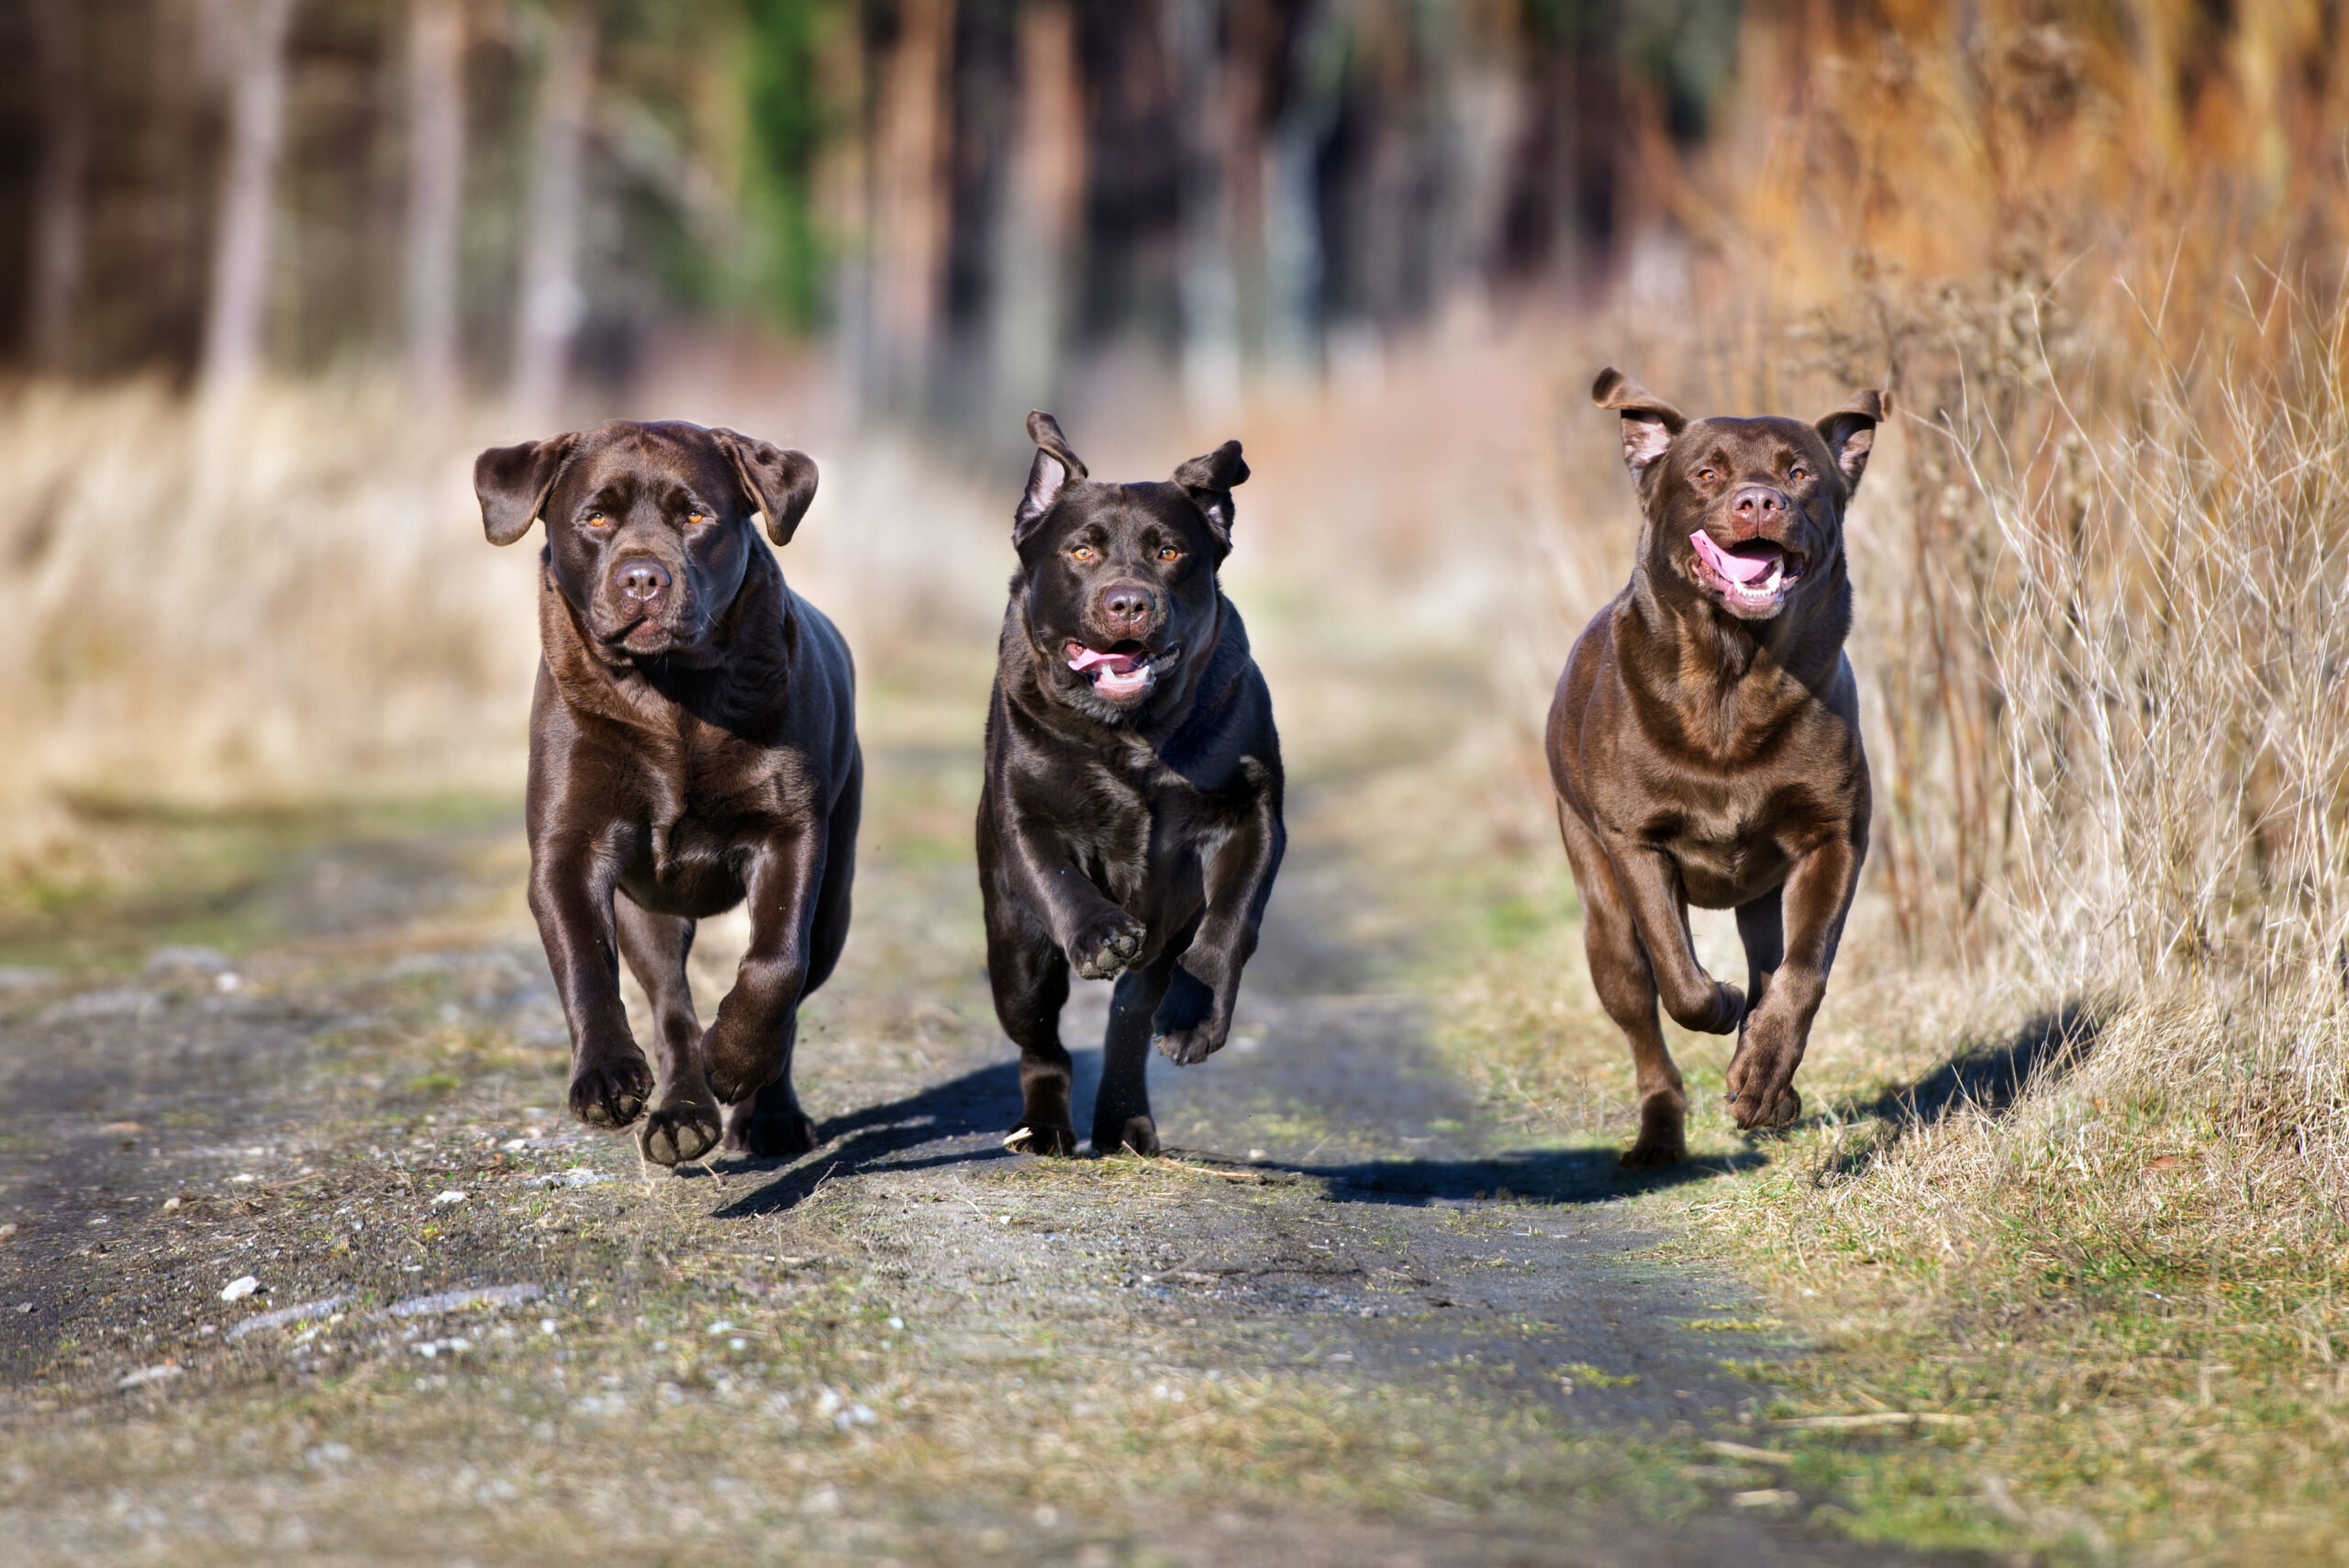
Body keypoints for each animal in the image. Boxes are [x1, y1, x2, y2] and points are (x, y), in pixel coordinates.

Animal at [972, 410, 1286, 1159]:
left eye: (1170, 552)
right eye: (1082, 551)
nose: (1129, 603)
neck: (1133, 733)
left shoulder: (1253, 811)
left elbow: (1232, 919)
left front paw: (1196, 1019)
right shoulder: (1024, 814)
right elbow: (1058, 876)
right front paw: (1100, 933)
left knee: (1130, 1012)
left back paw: (1124, 1121)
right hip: (1016, 953)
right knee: (1042, 1039)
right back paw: (1046, 1127)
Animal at [1550, 373, 1879, 1169]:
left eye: (1800, 474)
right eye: (1706, 474)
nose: (1760, 502)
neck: (1734, 676)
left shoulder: (1835, 835)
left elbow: (1804, 969)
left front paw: (1761, 1075)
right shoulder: (1635, 841)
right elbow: (1681, 976)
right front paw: (1720, 1002)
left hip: (1760, 893)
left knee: (1771, 962)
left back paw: (1767, 1079)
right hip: (1599, 907)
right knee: (1642, 1012)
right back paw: (1659, 1136)